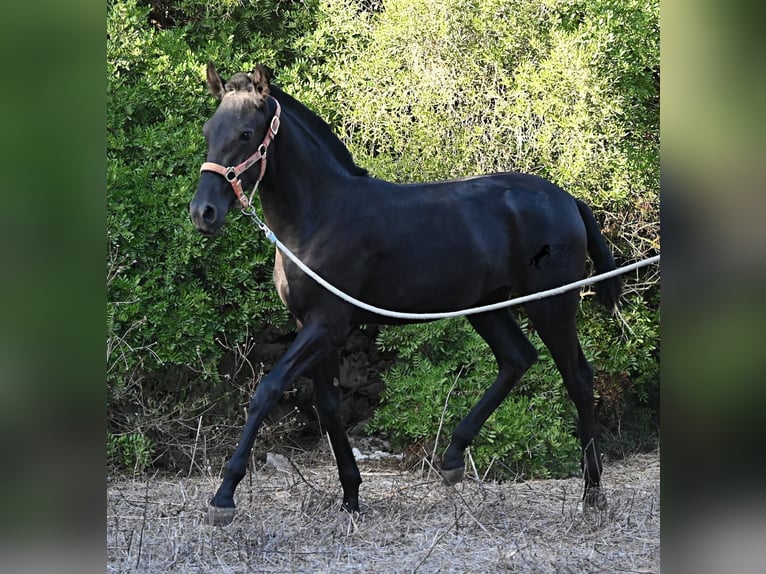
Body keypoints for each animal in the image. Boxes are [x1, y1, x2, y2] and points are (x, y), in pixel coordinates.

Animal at [189, 63, 621, 526]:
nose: (203, 213)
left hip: (552, 305)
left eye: (246, 133)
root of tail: (568, 200)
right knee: (517, 358)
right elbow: (328, 405)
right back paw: (452, 459)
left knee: (578, 379)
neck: (319, 216)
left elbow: (266, 391)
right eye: (208, 130)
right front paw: (351, 496)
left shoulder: (327, 324)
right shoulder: (312, 326)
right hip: (486, 306)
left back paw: (593, 494)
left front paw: (224, 496)